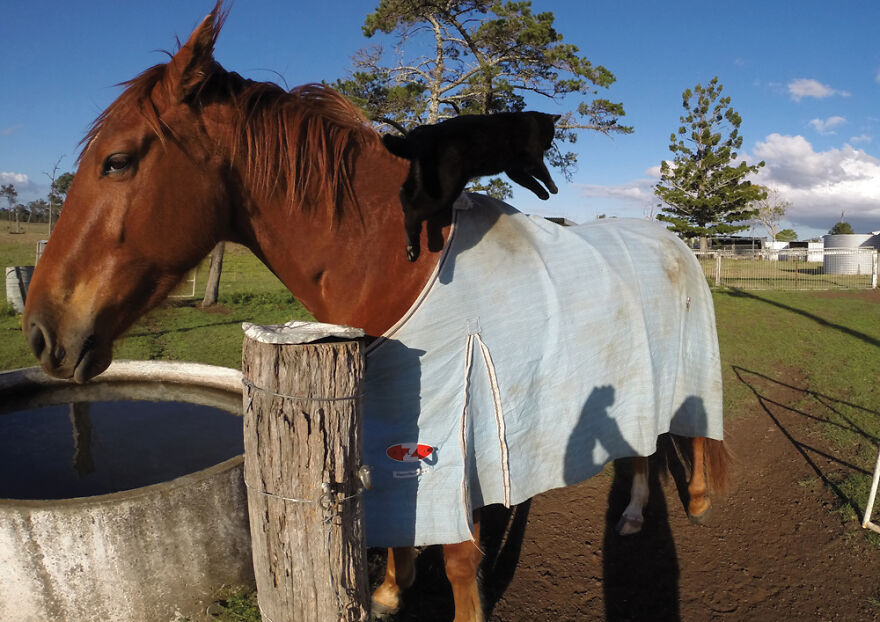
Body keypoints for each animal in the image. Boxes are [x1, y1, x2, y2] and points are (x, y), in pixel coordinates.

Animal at [382, 111, 560, 261]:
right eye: (552, 133)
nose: (550, 146)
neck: (535, 120)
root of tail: (422, 132)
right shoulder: (533, 158)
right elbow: (543, 174)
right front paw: (552, 189)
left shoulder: (514, 170)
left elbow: (530, 182)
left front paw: (544, 194)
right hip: (446, 187)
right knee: (413, 213)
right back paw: (414, 250)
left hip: (421, 177)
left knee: (403, 192)